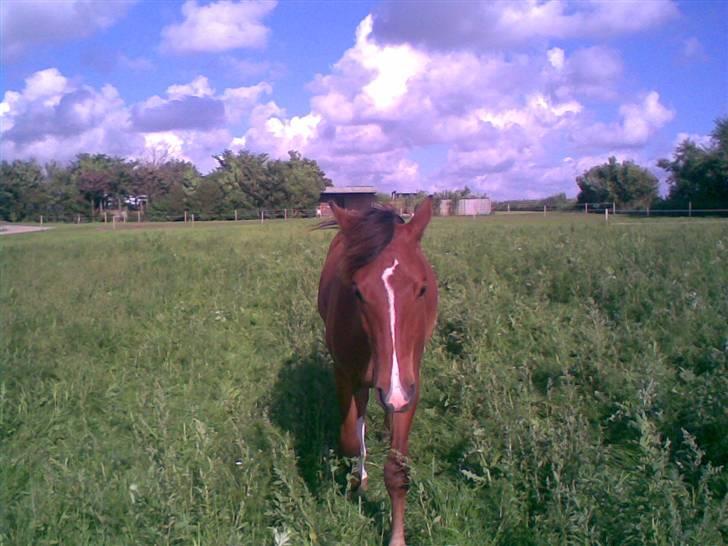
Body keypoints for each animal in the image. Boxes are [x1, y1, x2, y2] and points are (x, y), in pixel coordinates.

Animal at [314, 197, 438, 544]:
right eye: (357, 291)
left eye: (422, 288)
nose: (393, 393)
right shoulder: (346, 375)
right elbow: (350, 439)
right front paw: (359, 480)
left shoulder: (410, 384)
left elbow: (397, 470)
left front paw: (396, 537)